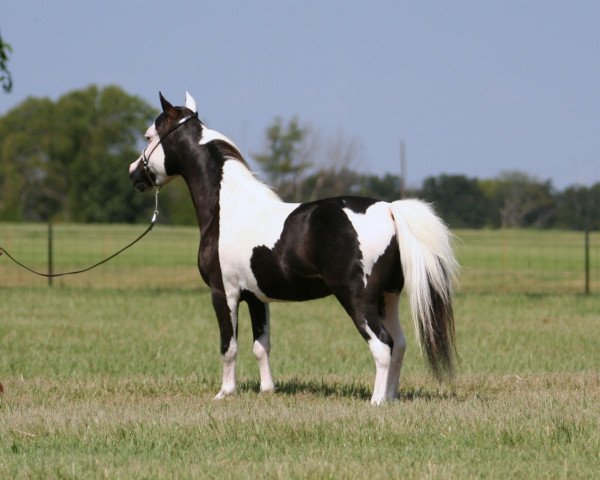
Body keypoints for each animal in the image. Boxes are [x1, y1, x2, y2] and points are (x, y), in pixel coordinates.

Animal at [129, 92, 458, 404]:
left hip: (358, 299)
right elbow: (261, 346)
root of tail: (389, 209)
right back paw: (391, 397)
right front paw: (267, 390)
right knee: (399, 344)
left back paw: (376, 402)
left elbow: (229, 346)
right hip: (388, 297)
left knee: (382, 345)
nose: (133, 174)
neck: (229, 207)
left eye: (148, 136)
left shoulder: (224, 294)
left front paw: (225, 393)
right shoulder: (256, 297)